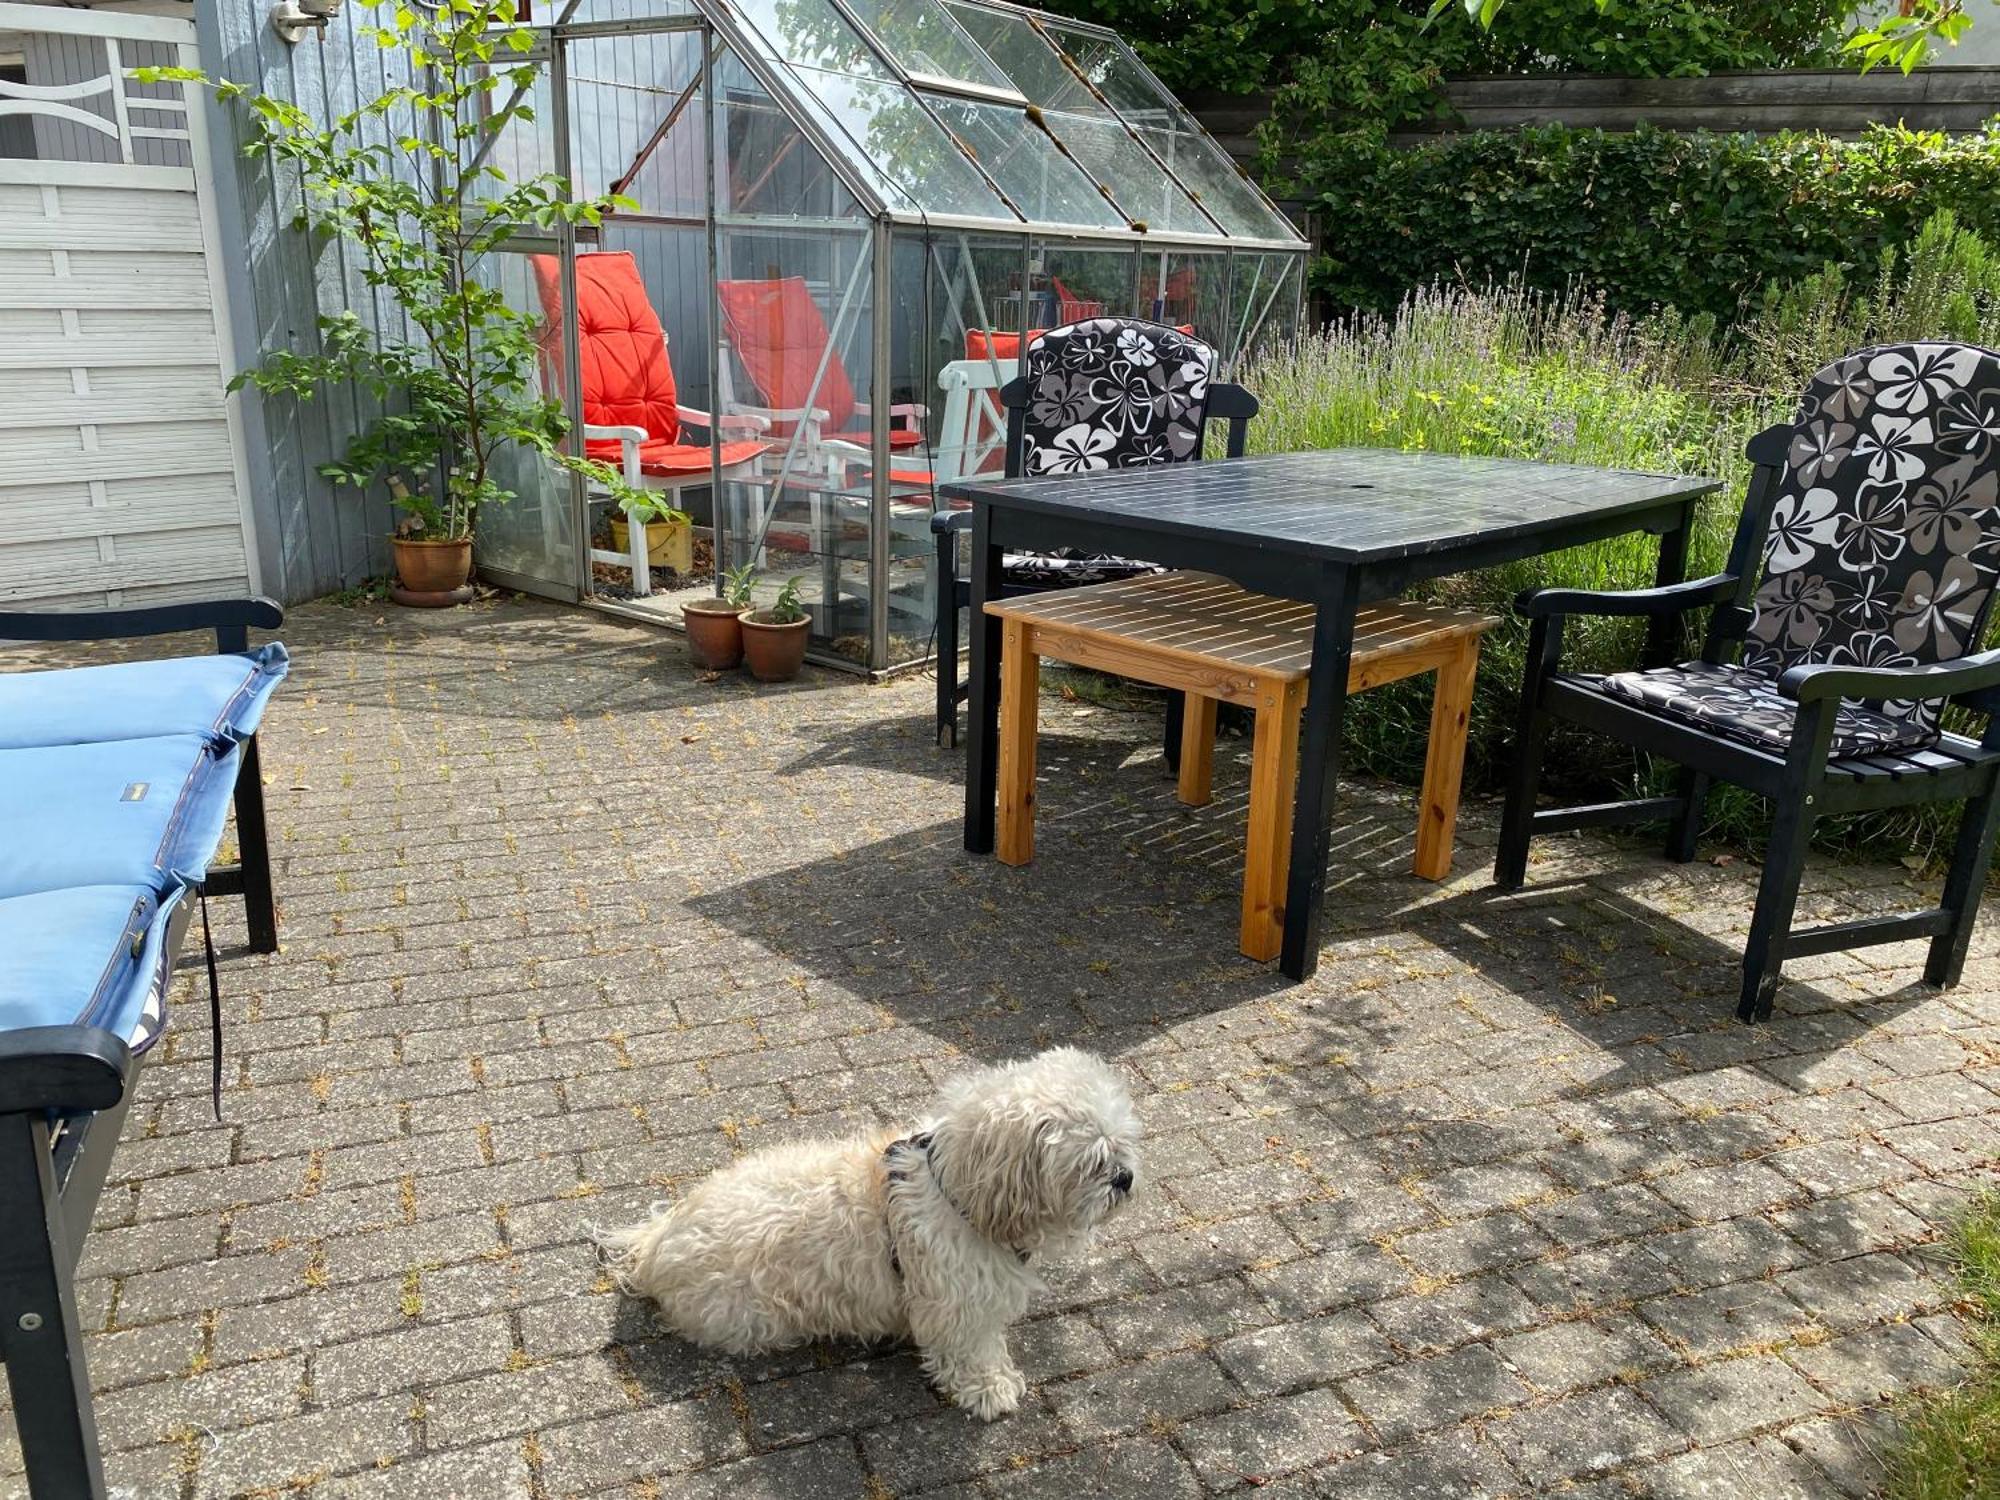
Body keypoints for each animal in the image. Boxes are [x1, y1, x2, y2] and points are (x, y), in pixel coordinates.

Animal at [596, 1048, 1144, 1424]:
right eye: (1094, 1161)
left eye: (1122, 1146)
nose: (1125, 1177)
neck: (957, 1188)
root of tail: (657, 1240)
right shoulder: (957, 1305)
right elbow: (972, 1352)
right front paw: (989, 1389)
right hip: (751, 1317)